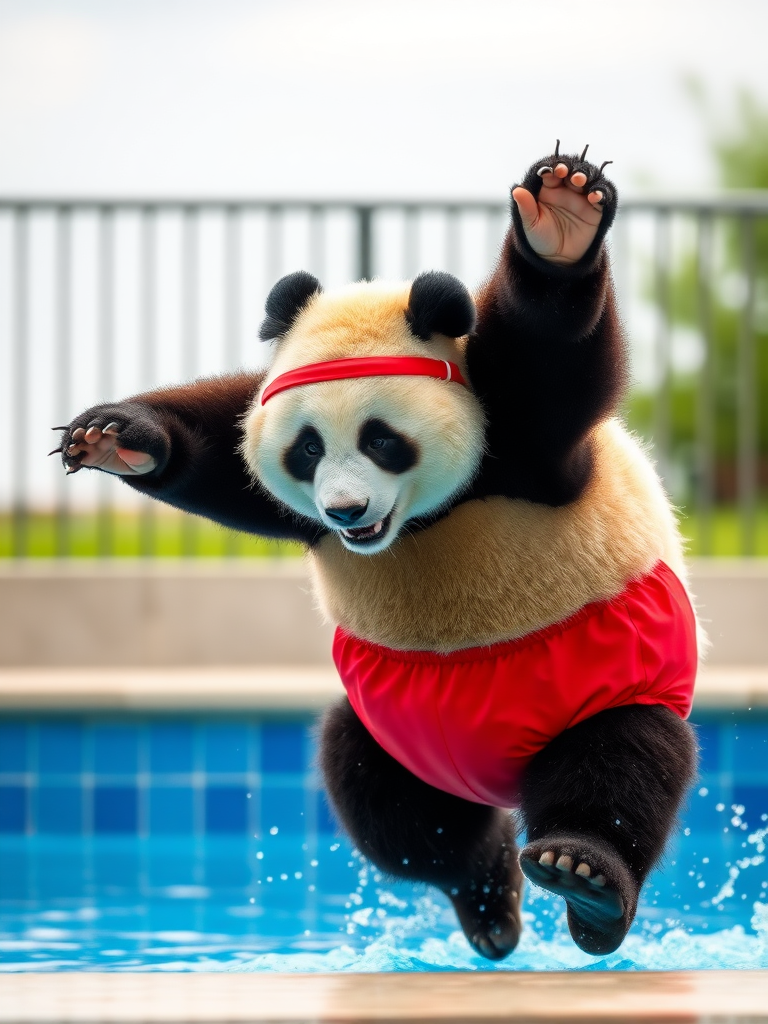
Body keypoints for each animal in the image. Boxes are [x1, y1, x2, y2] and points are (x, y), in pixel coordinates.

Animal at [57, 148, 700, 962]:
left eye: (381, 439)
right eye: (306, 448)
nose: (345, 513)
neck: (422, 521)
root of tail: (497, 780)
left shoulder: (524, 445)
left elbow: (551, 358)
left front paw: (561, 219)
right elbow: (222, 457)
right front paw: (118, 436)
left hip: (595, 677)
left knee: (623, 759)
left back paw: (584, 875)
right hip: (397, 732)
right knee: (386, 801)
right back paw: (489, 900)